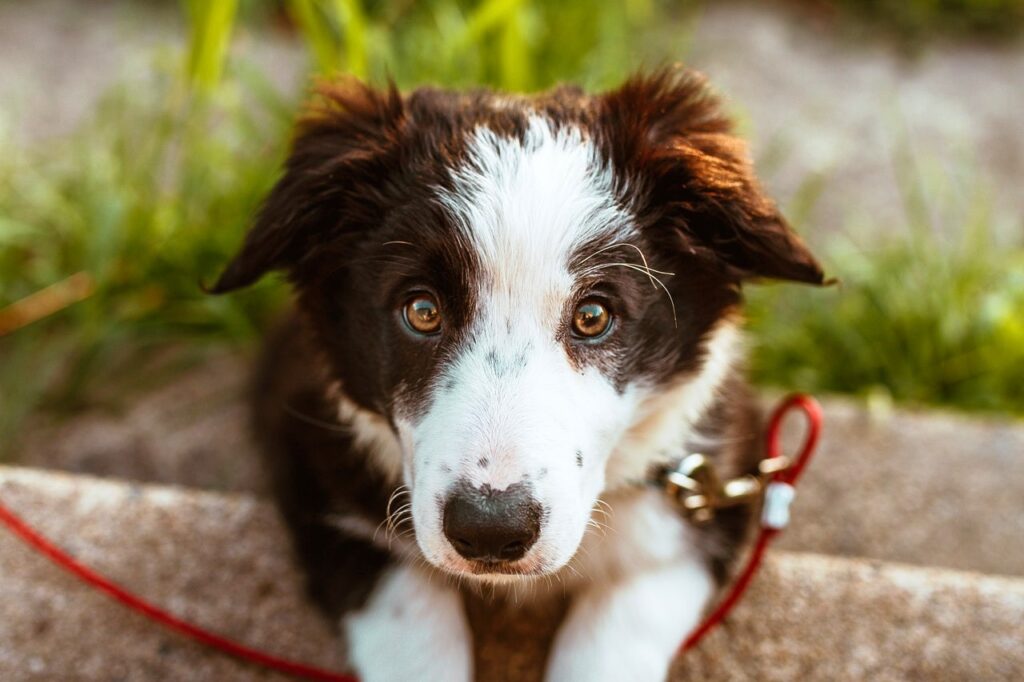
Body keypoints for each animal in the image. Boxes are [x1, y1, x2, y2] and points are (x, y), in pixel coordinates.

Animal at [209, 67, 823, 679]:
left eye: (593, 316)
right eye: (421, 310)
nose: (490, 530)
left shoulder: (706, 495)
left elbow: (617, 630)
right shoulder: (315, 466)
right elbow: (410, 621)